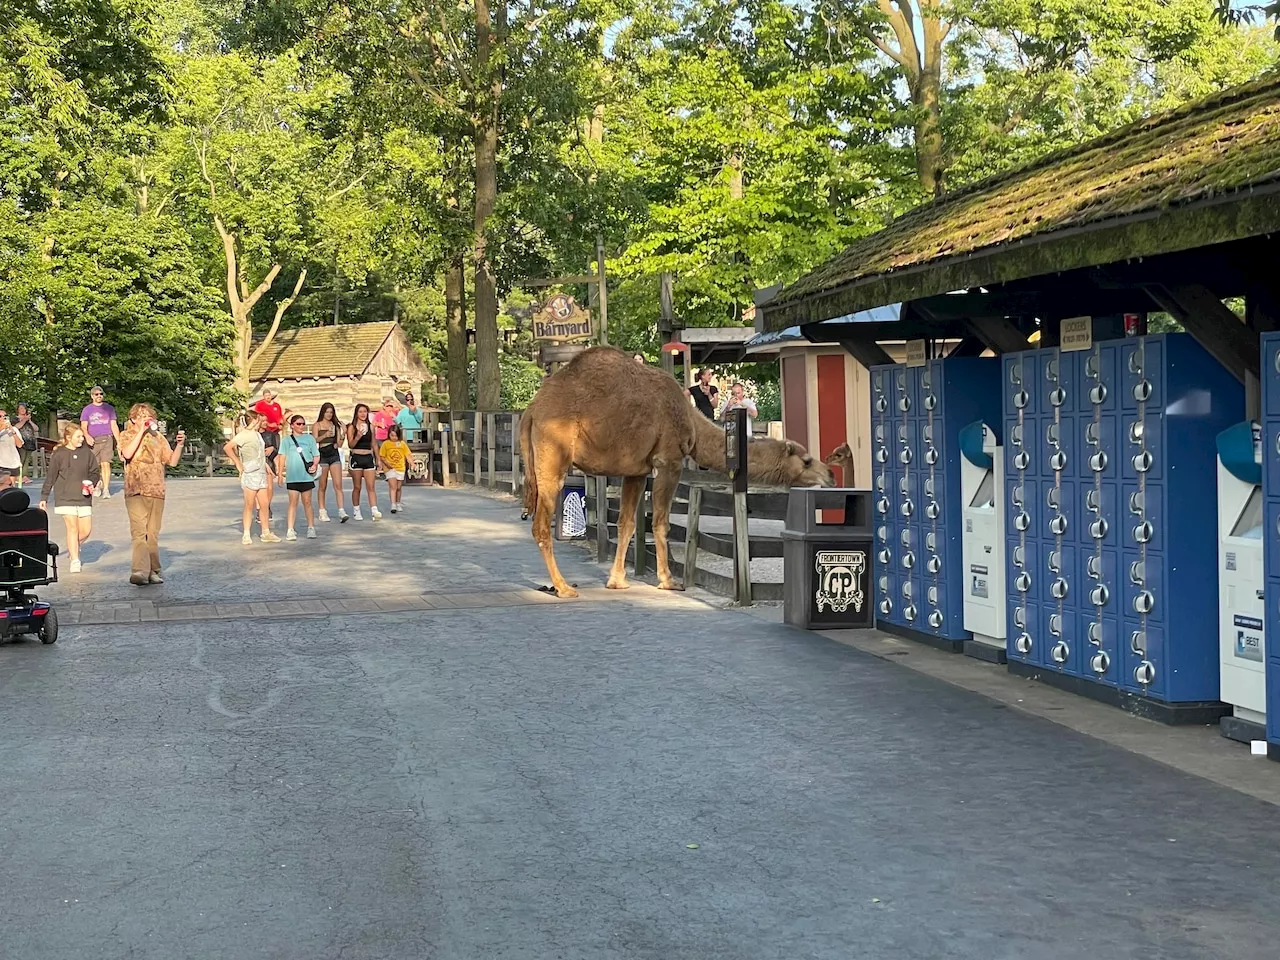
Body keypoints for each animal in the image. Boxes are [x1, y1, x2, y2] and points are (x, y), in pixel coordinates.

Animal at [522, 345, 834, 601]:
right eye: (807, 461)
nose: (829, 473)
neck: (693, 422)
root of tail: (531, 411)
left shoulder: (636, 470)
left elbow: (627, 523)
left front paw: (617, 581)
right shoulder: (669, 460)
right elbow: (660, 522)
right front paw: (668, 580)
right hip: (553, 456)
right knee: (540, 524)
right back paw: (563, 587)